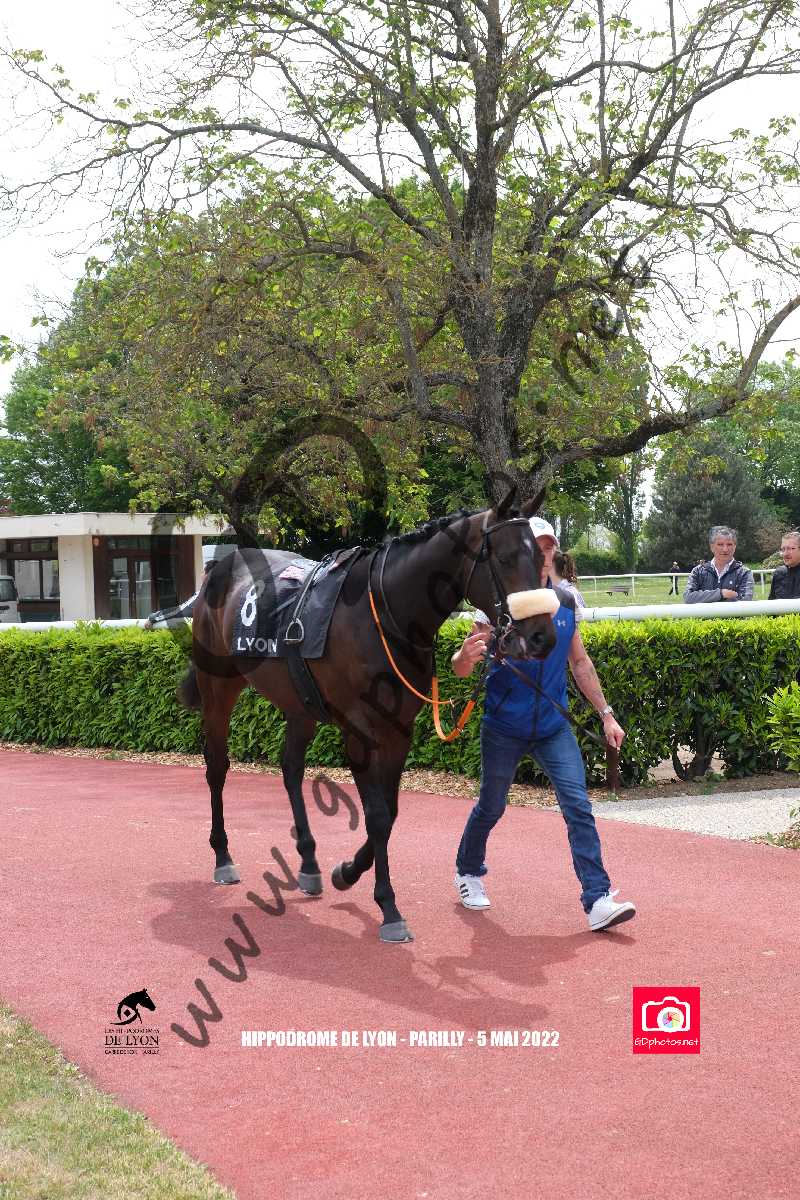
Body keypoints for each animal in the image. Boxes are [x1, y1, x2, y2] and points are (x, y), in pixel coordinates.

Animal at [177, 490, 558, 942]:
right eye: (504, 558)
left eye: (540, 557)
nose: (542, 636)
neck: (387, 620)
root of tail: (221, 567)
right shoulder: (358, 731)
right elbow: (376, 815)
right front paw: (388, 907)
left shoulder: (399, 730)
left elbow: (389, 813)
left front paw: (346, 871)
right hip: (217, 686)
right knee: (217, 767)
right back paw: (223, 856)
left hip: (298, 702)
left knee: (290, 769)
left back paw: (308, 863)